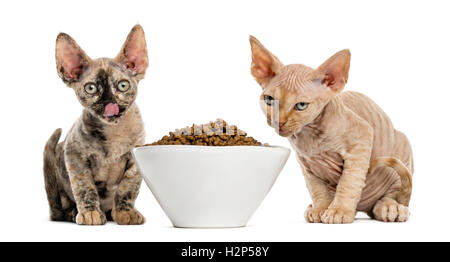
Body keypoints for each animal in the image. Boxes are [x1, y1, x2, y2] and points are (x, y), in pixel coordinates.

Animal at [43, 25, 148, 225]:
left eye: (123, 86)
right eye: (90, 88)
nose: (110, 104)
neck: (114, 131)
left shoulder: (135, 162)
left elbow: (127, 187)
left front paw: (125, 211)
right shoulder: (74, 157)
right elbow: (84, 187)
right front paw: (90, 212)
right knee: (62, 208)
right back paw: (72, 212)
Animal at [248, 36, 414, 223]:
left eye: (301, 105)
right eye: (269, 100)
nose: (279, 122)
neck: (309, 136)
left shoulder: (362, 137)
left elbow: (349, 182)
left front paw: (339, 211)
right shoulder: (305, 163)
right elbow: (316, 189)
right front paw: (320, 209)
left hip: (402, 146)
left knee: (396, 191)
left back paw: (390, 207)